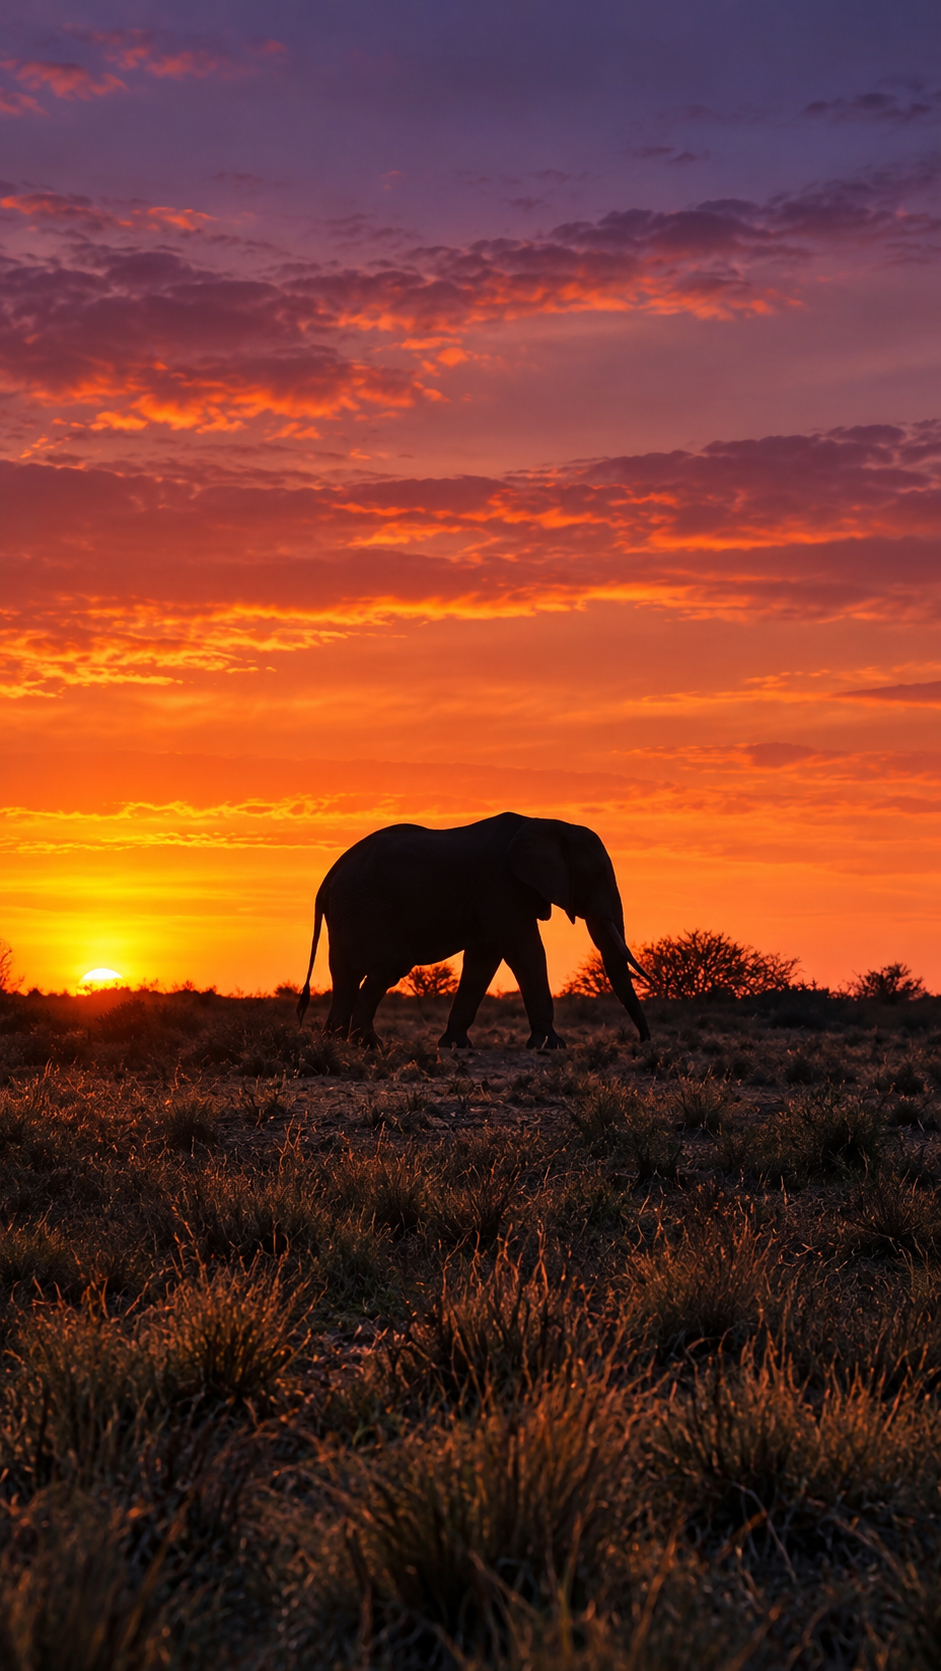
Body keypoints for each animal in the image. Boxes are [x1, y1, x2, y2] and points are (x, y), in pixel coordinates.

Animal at [296, 811, 651, 1048]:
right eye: (596, 875)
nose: (643, 1043)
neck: (551, 824)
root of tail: (328, 879)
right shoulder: (501, 886)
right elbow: (525, 951)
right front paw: (551, 1046)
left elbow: (484, 960)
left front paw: (454, 1045)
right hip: (363, 909)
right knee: (380, 971)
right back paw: (365, 1044)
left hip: (349, 913)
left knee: (351, 976)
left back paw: (341, 1042)